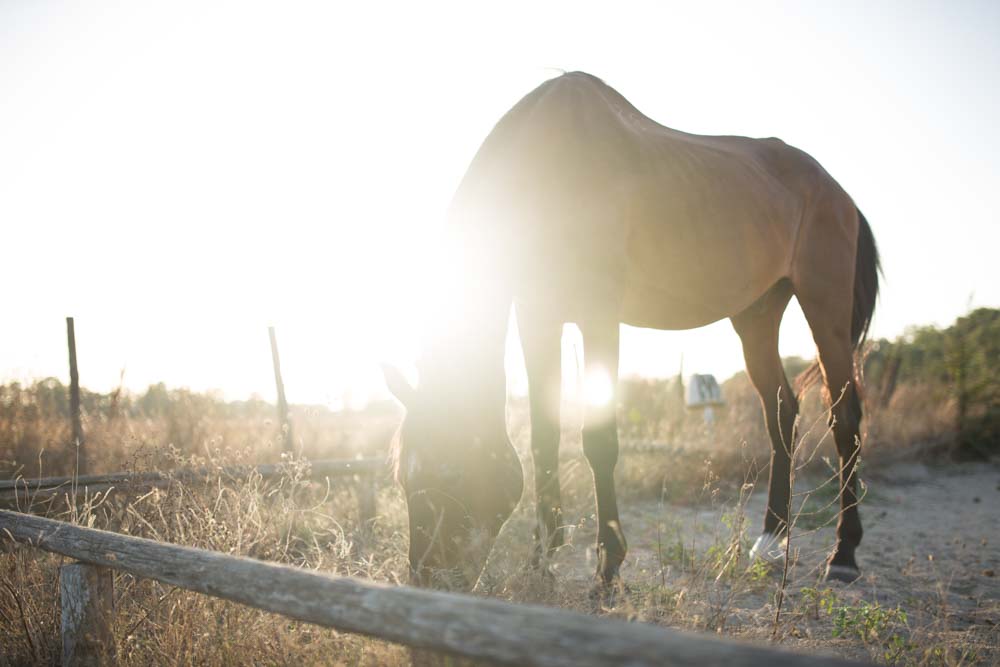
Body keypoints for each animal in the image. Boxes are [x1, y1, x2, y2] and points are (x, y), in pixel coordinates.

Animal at [382, 70, 876, 592]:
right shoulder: (538, 316)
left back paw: (843, 554)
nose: (428, 578)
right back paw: (770, 537)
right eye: (402, 478)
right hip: (756, 316)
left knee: (844, 418)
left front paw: (608, 566)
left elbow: (598, 438)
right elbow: (543, 438)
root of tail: (837, 191)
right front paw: (542, 560)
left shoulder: (599, 316)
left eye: (451, 473)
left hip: (824, 306)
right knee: (781, 411)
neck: (545, 171)